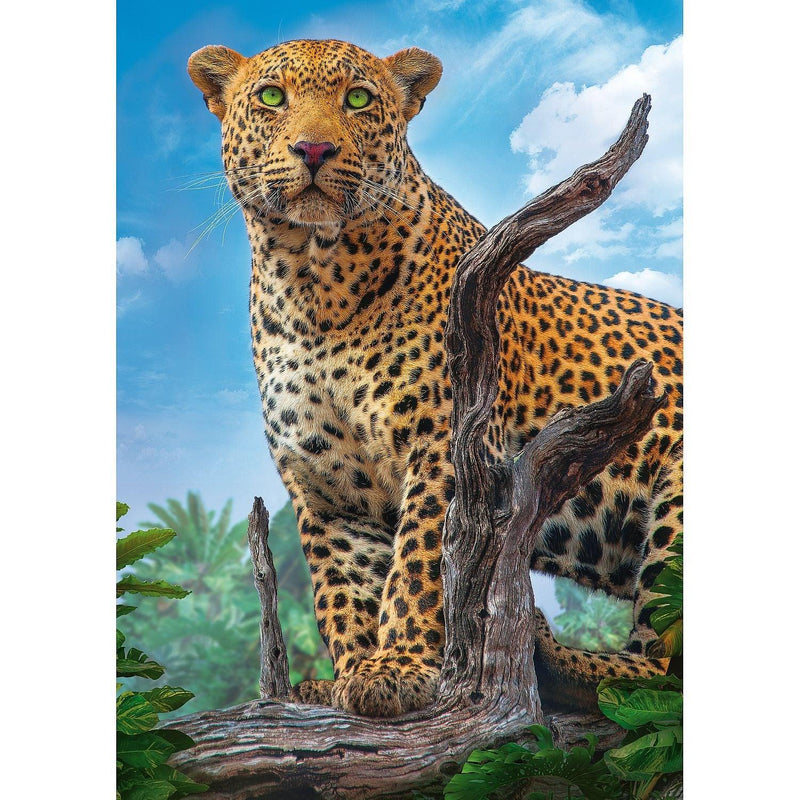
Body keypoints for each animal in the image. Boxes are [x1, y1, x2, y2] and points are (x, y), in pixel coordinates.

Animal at [188, 38, 683, 717]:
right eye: (271, 97)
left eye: (358, 98)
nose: (313, 150)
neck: (312, 282)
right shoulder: (324, 486)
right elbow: (343, 589)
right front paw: (349, 675)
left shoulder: (448, 446)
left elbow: (422, 563)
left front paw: (398, 666)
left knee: (662, 669)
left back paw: (553, 656)